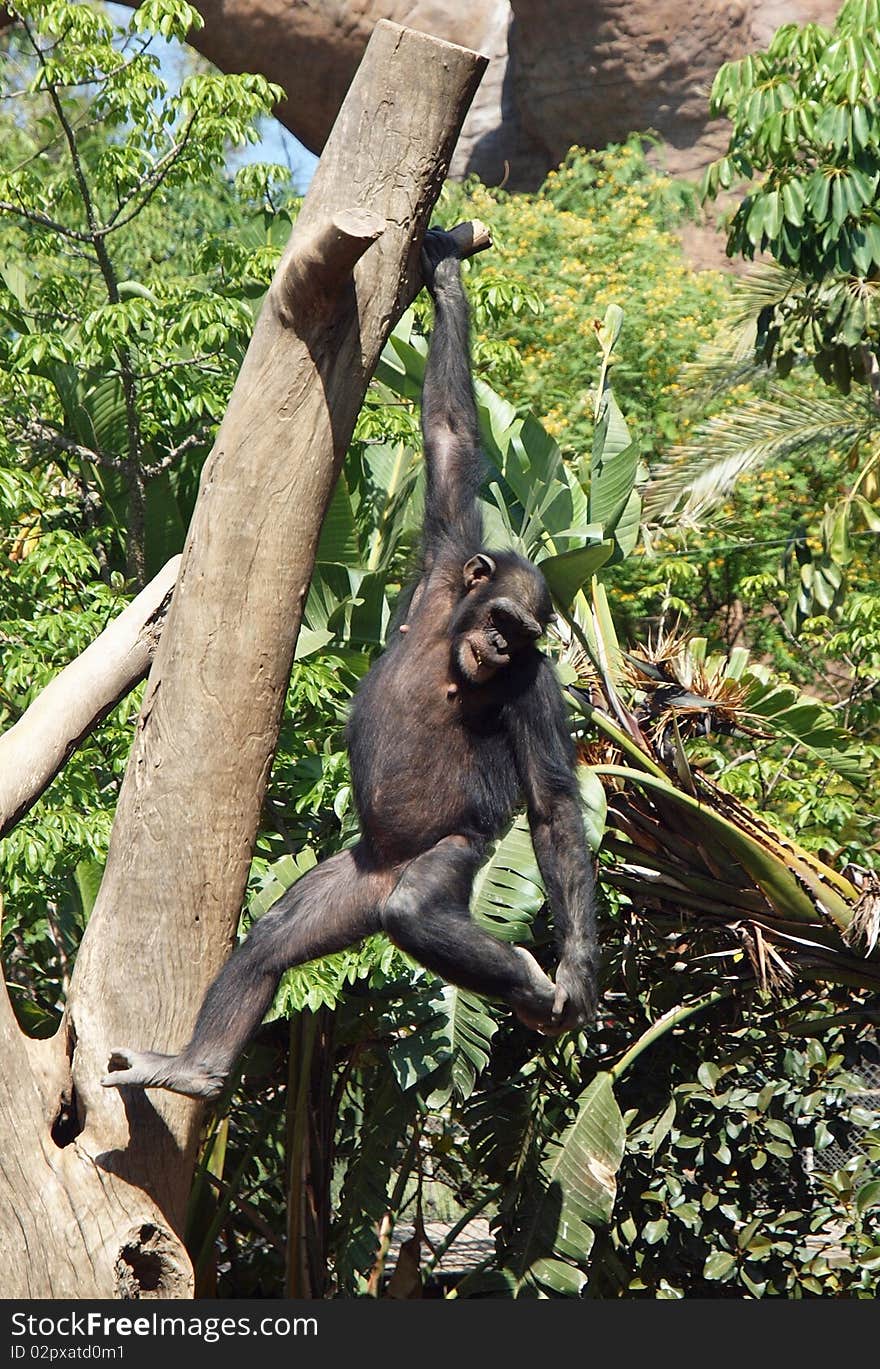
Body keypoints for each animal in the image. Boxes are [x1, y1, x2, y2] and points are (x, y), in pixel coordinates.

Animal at [103, 227, 599, 1100]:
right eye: (500, 618)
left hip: (446, 857)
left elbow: (551, 804)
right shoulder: (447, 550)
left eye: (523, 635)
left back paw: (533, 981)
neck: (454, 639)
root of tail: (378, 879)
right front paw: (445, 273)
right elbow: (450, 432)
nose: (503, 645)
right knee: (273, 936)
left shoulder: (539, 687)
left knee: (414, 913)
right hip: (344, 884)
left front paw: (575, 968)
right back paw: (196, 1068)